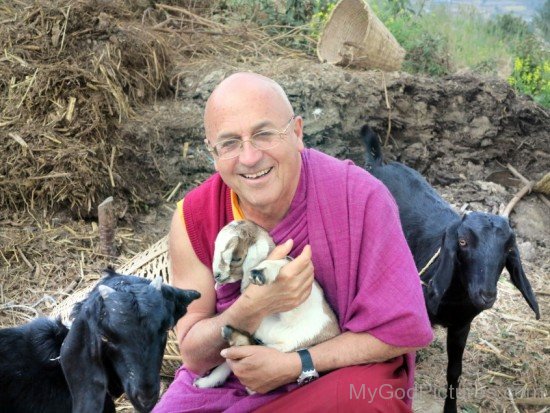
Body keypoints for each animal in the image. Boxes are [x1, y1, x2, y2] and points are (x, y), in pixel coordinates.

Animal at [364, 125, 540, 412]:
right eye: (462, 242)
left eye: (508, 249)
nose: (485, 295)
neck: (454, 296)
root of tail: (379, 163)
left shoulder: (461, 324)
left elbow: (454, 371)